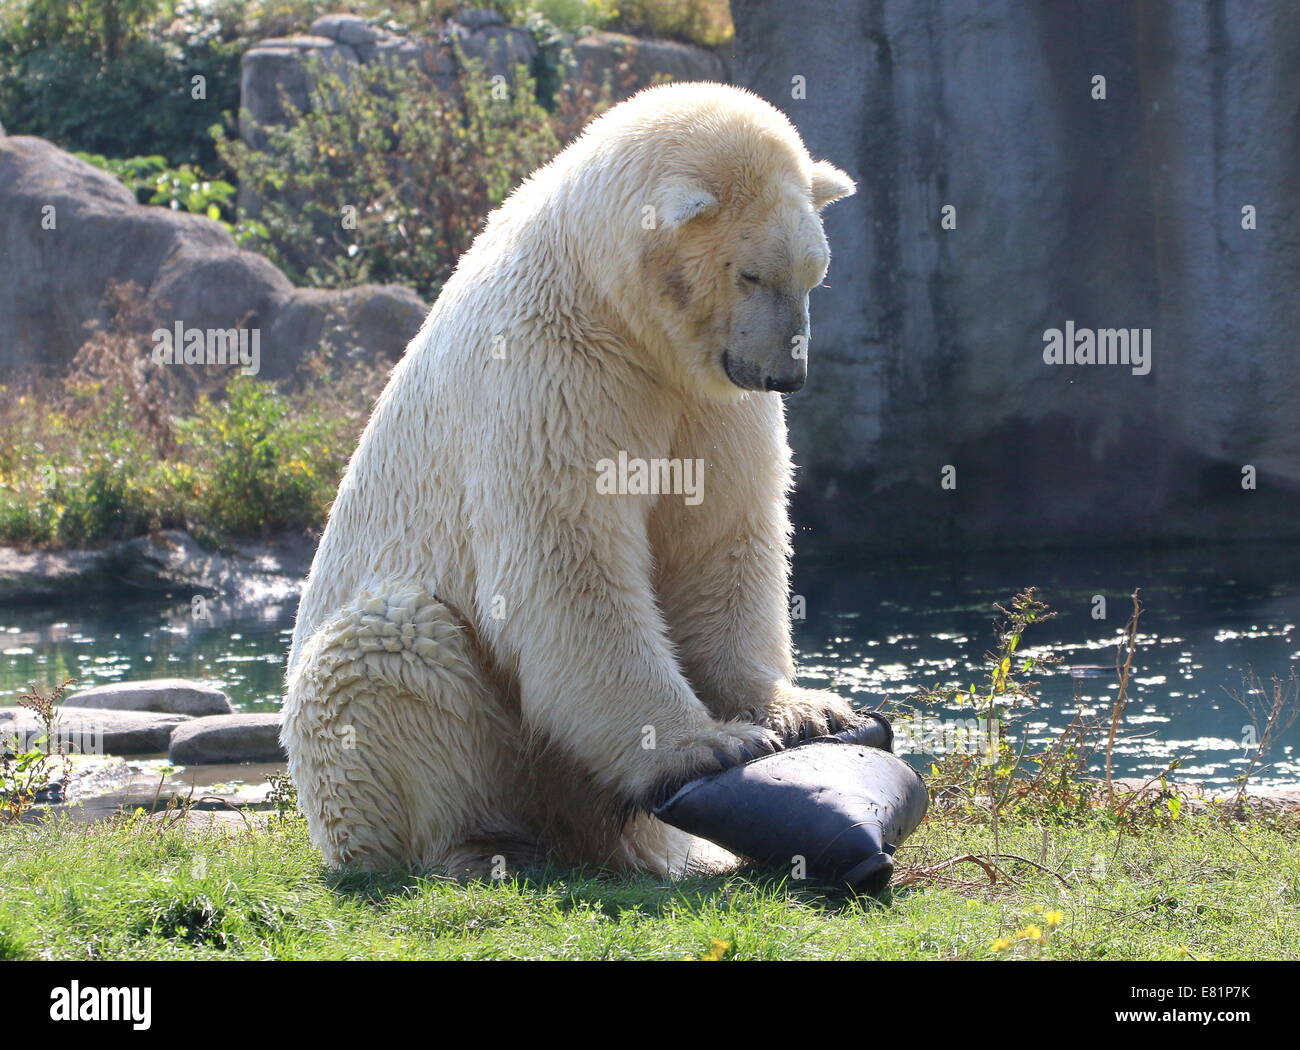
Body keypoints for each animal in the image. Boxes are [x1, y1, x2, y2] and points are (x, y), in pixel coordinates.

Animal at [279, 79, 857, 878]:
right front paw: (703, 746)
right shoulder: (549, 364)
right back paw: (484, 845)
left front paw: (804, 711)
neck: (606, 297)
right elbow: (566, 557)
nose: (786, 375)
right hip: (371, 742)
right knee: (389, 649)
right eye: (750, 273)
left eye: (813, 275)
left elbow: (720, 534)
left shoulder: (706, 401)